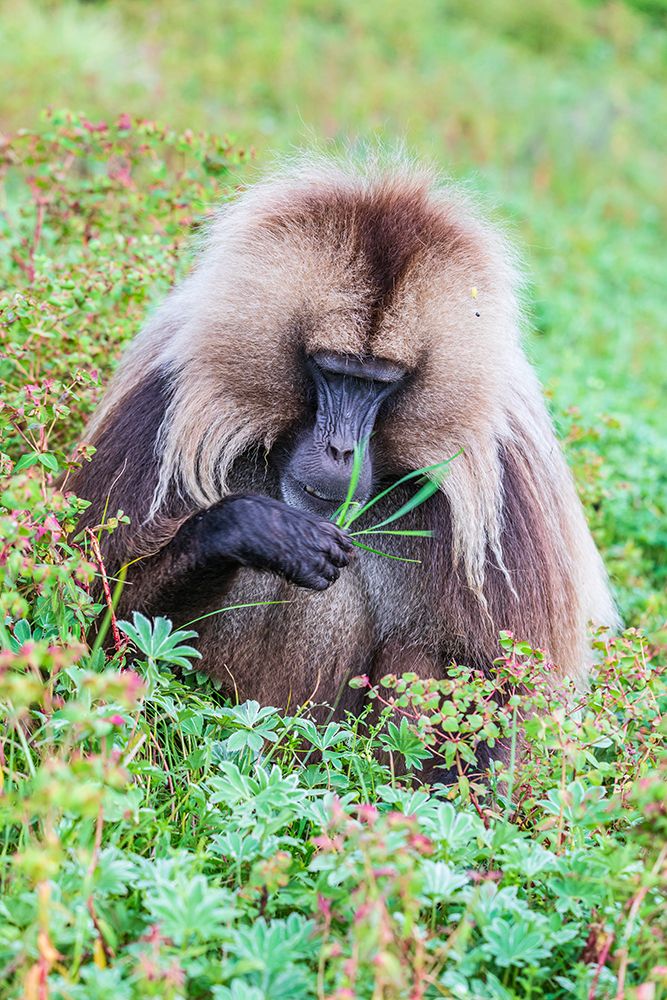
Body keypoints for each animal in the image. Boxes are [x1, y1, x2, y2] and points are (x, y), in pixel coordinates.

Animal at [67, 154, 617, 774]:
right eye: (332, 372)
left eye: (379, 383)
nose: (341, 453)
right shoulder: (162, 399)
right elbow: (102, 617)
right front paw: (257, 530)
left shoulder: (509, 472)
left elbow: (499, 685)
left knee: (420, 656)